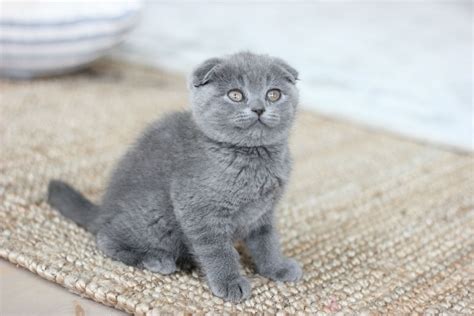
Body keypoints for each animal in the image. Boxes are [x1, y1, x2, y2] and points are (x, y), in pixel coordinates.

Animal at [47, 51, 300, 302]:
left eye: (273, 94)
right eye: (236, 95)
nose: (259, 108)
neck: (252, 159)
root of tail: (103, 210)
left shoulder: (262, 213)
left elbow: (267, 242)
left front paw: (277, 268)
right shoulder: (198, 209)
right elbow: (218, 250)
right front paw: (230, 282)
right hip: (155, 216)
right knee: (106, 238)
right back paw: (155, 259)